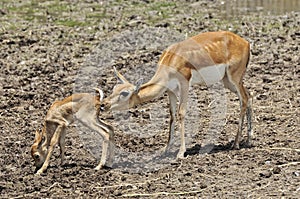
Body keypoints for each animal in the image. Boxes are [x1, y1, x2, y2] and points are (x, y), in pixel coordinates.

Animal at [102, 31, 252, 159]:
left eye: (124, 93)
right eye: (114, 89)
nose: (104, 104)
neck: (171, 60)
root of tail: (245, 42)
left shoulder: (184, 84)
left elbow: (181, 113)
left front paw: (181, 152)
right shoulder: (171, 90)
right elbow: (172, 115)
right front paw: (165, 150)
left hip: (234, 78)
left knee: (244, 99)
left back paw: (236, 144)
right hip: (227, 81)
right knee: (248, 96)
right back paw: (248, 141)